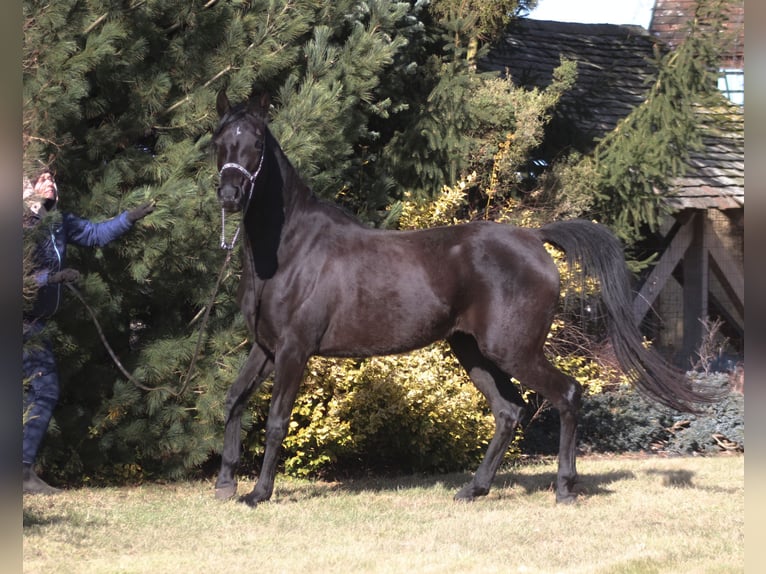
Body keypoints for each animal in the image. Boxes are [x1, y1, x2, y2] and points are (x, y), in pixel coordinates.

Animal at [211, 89, 714, 506]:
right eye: (219, 142)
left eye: (256, 143)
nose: (231, 194)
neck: (291, 248)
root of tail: (533, 238)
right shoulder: (266, 346)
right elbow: (234, 399)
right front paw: (224, 483)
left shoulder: (295, 349)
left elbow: (276, 420)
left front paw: (257, 494)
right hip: (473, 350)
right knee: (509, 412)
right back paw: (475, 489)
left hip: (512, 350)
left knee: (567, 394)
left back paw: (564, 489)